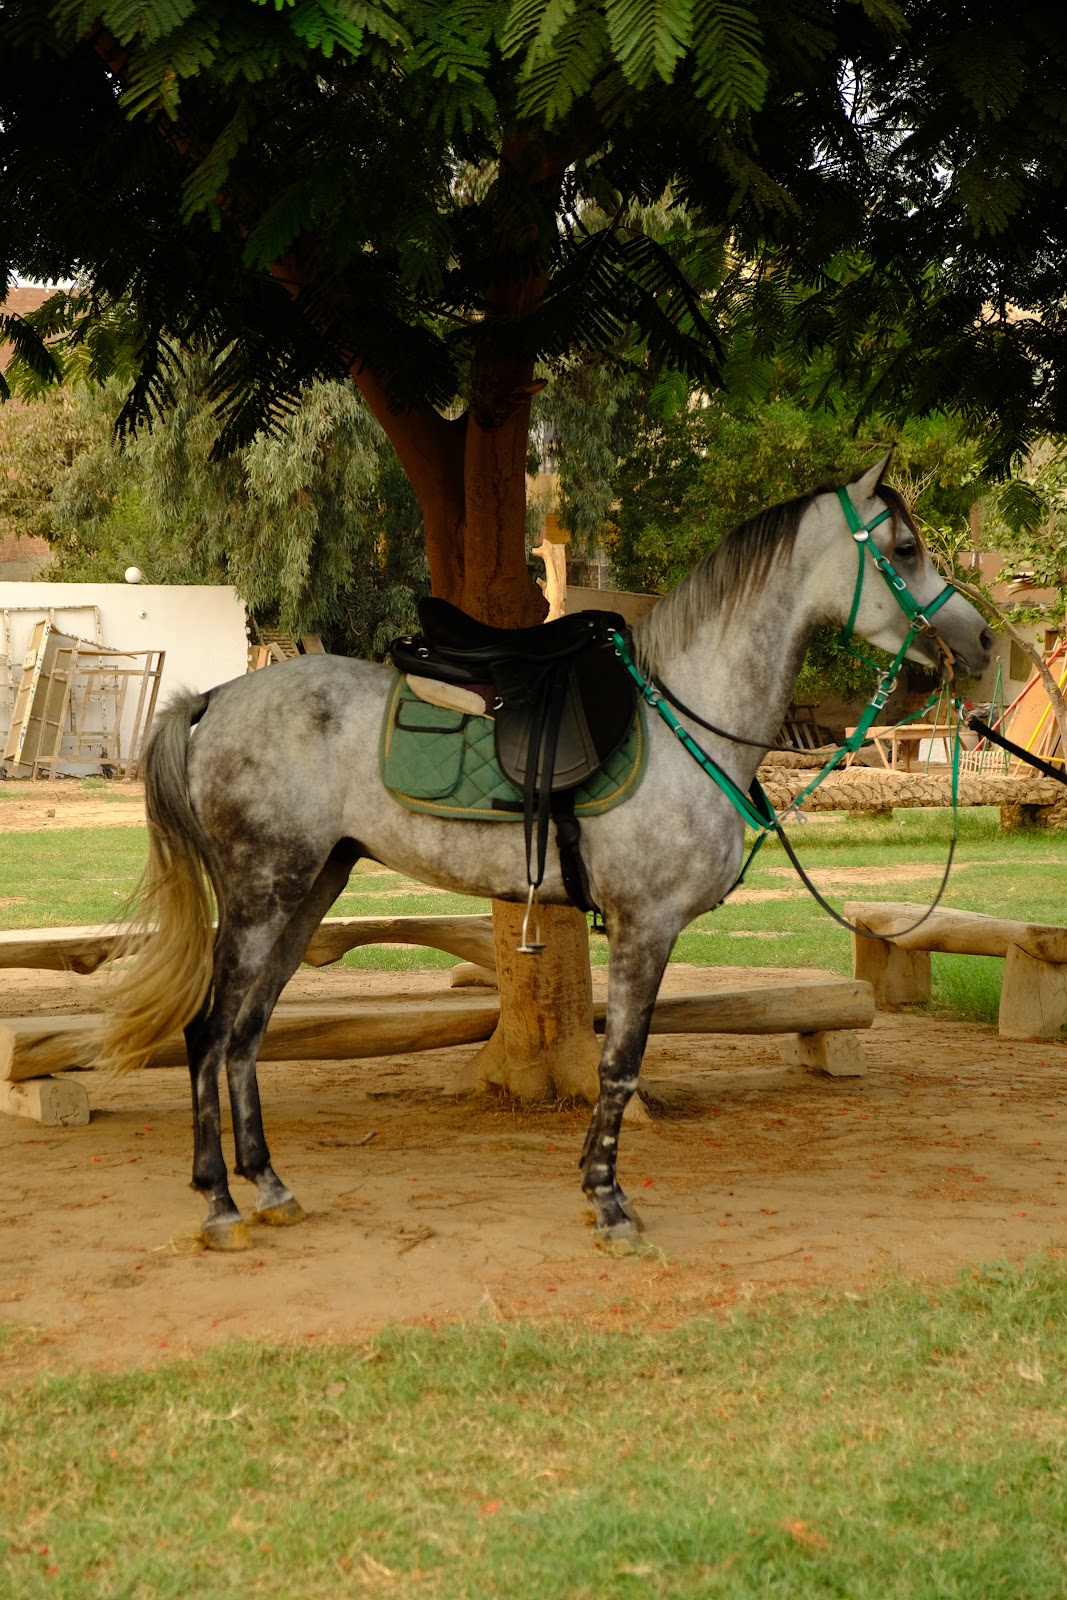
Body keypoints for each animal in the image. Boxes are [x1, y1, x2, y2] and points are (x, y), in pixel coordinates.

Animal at [96, 456, 992, 1249]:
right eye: (903, 549)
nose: (981, 641)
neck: (686, 724)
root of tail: (213, 700)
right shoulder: (645, 926)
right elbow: (620, 1063)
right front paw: (609, 1203)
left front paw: (597, 1189)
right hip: (261, 894)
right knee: (210, 1032)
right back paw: (219, 1203)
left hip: (309, 889)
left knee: (248, 1032)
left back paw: (270, 1187)